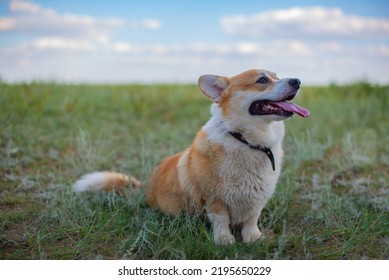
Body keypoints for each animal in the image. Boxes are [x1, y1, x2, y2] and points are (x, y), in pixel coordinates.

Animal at [73, 69, 310, 245]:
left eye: (277, 76)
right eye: (262, 80)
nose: (297, 81)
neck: (246, 141)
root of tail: (145, 188)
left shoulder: (257, 199)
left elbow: (252, 218)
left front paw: (253, 238)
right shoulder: (214, 199)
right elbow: (222, 220)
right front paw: (224, 241)